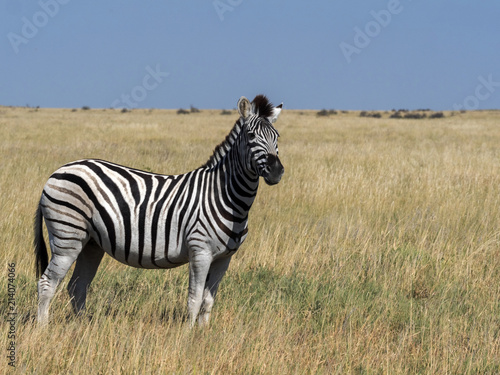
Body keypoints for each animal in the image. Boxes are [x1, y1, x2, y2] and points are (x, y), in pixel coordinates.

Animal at [34, 95, 286, 328]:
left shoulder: (224, 258)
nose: (276, 171)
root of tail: (58, 171)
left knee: (77, 285)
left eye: (277, 137)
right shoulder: (200, 251)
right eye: (251, 136)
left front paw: (204, 335)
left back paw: (84, 327)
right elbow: (194, 299)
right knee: (47, 283)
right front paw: (187, 336)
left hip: (91, 243)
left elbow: (208, 301)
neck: (227, 197)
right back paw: (43, 329)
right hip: (67, 237)